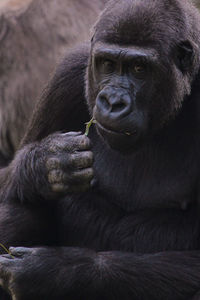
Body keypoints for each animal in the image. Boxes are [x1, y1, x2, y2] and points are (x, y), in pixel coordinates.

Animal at [0, 0, 200, 298]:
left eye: (139, 68)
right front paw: (45, 164)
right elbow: (11, 182)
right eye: (107, 64)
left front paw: (54, 270)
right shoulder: (68, 73)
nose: (113, 101)